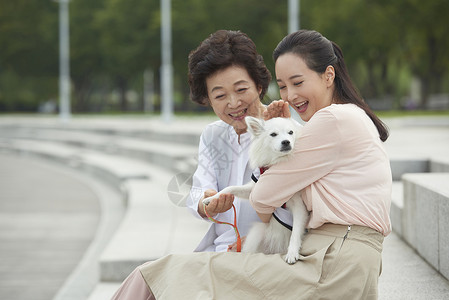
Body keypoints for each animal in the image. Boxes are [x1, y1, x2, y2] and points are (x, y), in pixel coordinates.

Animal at [203, 116, 308, 264]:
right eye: (273, 134)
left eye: (291, 132)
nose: (286, 141)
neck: (276, 162)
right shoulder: (253, 190)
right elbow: (231, 187)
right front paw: (212, 198)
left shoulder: (299, 206)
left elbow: (296, 231)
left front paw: (292, 253)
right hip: (257, 233)